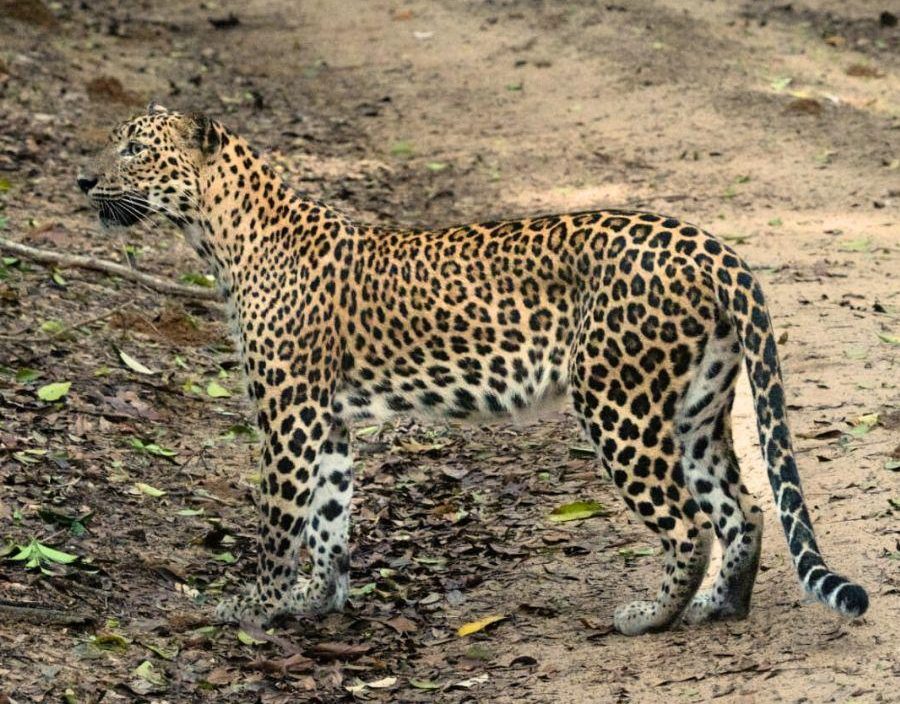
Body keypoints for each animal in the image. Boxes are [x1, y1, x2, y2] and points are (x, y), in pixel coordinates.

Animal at [77, 103, 868, 636]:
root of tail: (712, 246)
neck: (219, 237)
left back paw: (652, 614)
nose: (83, 179)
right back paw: (719, 606)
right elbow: (329, 514)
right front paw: (315, 598)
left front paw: (256, 605)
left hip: (617, 400)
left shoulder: (291, 414)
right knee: (745, 507)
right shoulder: (327, 418)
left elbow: (279, 518)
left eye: (133, 148)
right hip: (695, 407)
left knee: (687, 521)